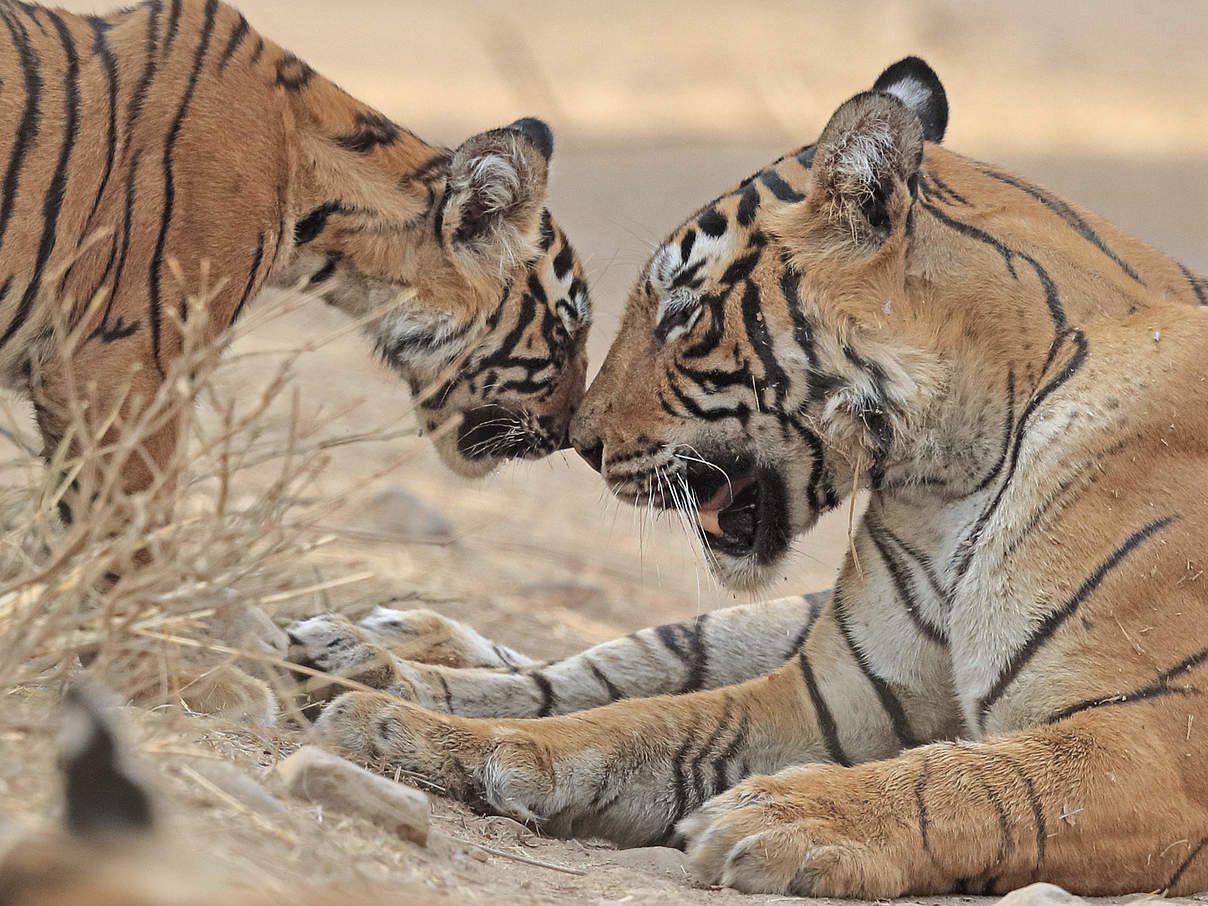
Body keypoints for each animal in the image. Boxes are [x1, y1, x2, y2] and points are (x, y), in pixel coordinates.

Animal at [299, 58, 1208, 903]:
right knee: (614, 665)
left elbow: (971, 780)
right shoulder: (827, 700)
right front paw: (399, 729)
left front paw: (790, 815)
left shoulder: (1156, 742)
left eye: (680, 312)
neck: (952, 473)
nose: (581, 443)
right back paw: (362, 656)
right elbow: (634, 722)